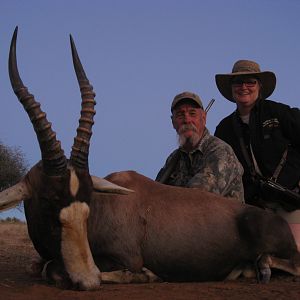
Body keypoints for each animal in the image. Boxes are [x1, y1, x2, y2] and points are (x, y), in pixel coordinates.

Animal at [0, 28, 300, 290]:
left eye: (87, 201)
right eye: (49, 199)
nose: (88, 280)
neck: (105, 204)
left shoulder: (123, 258)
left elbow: (52, 268)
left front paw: (145, 274)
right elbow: (37, 265)